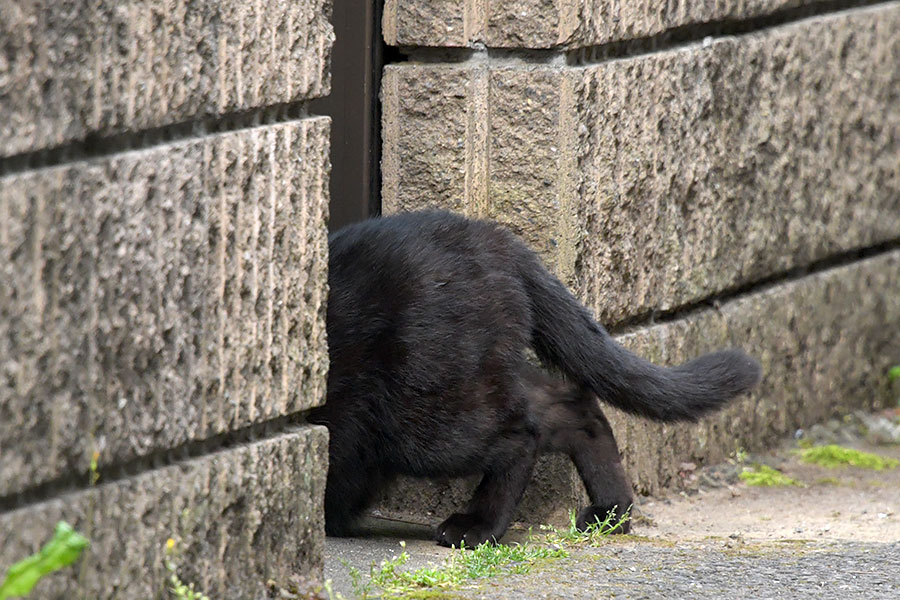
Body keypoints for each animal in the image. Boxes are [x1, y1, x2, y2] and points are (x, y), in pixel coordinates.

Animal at [308, 212, 760, 548]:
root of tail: (488, 235)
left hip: (425, 414)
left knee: (524, 433)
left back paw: (478, 526)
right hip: (476, 373)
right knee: (573, 405)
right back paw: (612, 514)